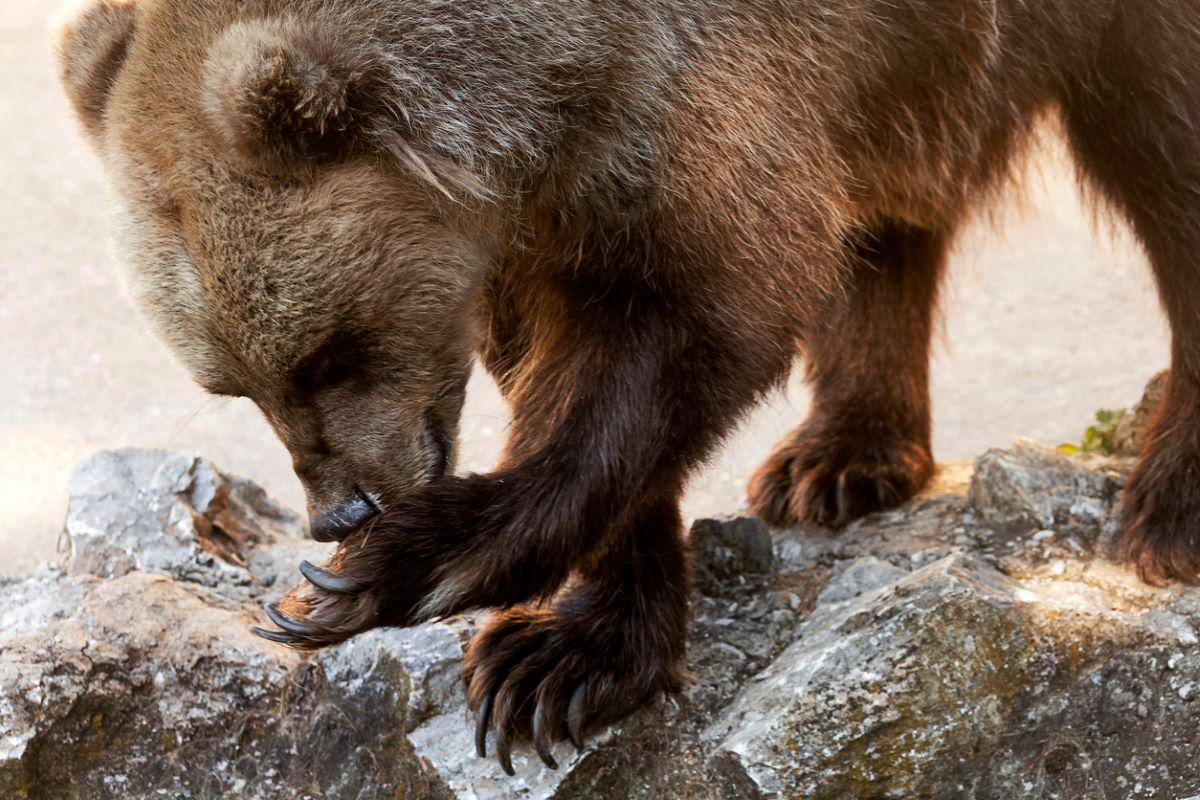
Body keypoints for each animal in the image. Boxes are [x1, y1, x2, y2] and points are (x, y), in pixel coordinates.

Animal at [60, 0, 1200, 777]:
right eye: (232, 384)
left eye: (326, 354)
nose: (341, 510)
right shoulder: (556, 198)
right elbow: (562, 357)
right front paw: (572, 652)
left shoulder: (693, 92)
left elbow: (693, 317)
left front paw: (404, 571)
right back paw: (839, 453)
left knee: (1164, 149)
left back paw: (1170, 504)